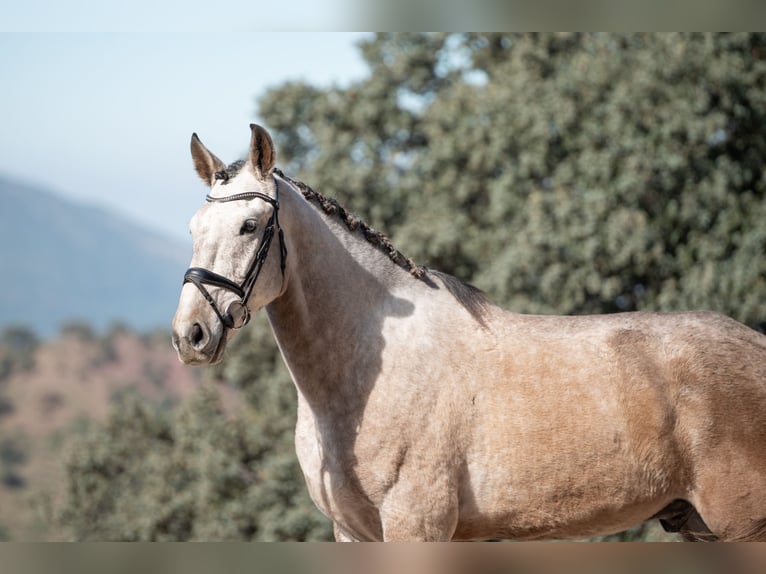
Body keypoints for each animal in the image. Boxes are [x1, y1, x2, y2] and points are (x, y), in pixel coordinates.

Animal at [172, 124, 766, 544]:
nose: (190, 336)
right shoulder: (353, 533)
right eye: (194, 230)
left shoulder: (417, 526)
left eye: (250, 226)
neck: (368, 376)